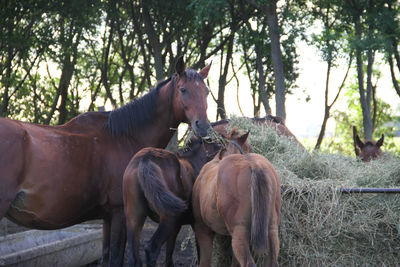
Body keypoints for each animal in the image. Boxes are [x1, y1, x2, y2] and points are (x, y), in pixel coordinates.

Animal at [122, 137, 220, 266]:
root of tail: (146, 158)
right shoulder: (197, 225)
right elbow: (200, 255)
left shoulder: (176, 227)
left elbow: (169, 255)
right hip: (169, 219)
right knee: (151, 248)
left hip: (134, 217)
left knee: (134, 258)